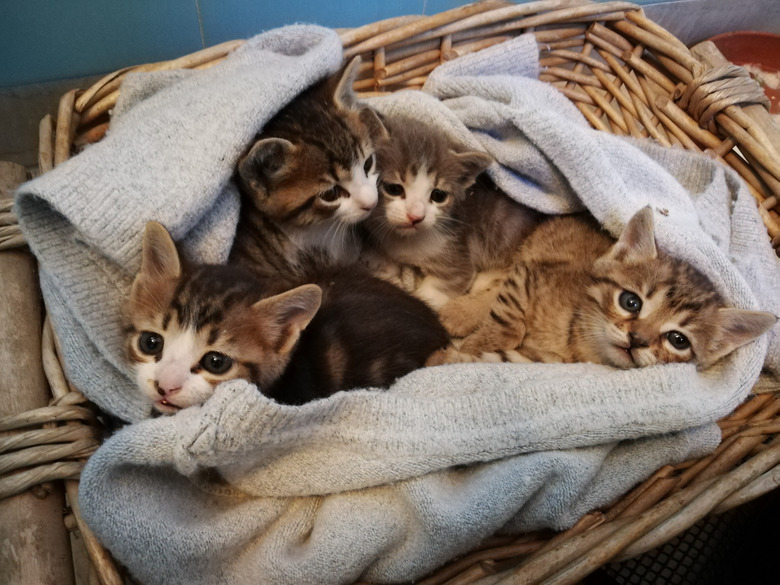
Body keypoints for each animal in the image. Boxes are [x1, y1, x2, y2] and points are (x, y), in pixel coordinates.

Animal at [362, 116, 540, 312]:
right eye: (394, 189)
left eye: (438, 195)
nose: (416, 217)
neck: (405, 241)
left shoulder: (457, 257)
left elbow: (440, 289)